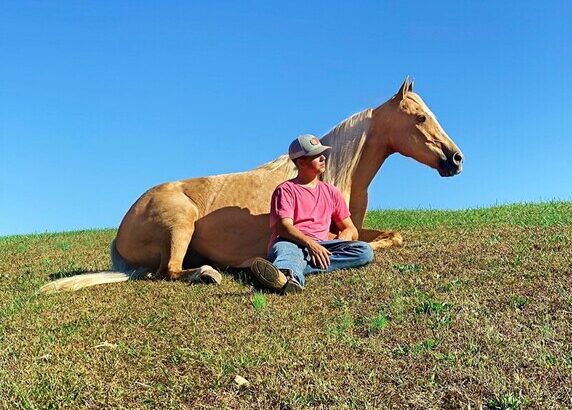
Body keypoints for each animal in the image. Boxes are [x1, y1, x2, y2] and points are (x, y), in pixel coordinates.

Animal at [42, 77, 464, 294]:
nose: (456, 159)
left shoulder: (353, 226)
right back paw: (213, 272)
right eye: (421, 118)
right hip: (180, 223)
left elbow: (390, 235)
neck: (334, 174)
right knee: (170, 271)